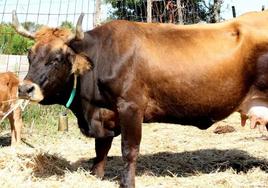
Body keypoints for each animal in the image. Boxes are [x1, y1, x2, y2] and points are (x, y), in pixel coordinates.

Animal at [13, 11, 268, 187]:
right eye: (30, 55)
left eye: (56, 59)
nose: (24, 89)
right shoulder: (106, 114)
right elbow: (101, 149)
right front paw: (96, 175)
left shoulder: (131, 107)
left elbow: (129, 150)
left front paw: (127, 182)